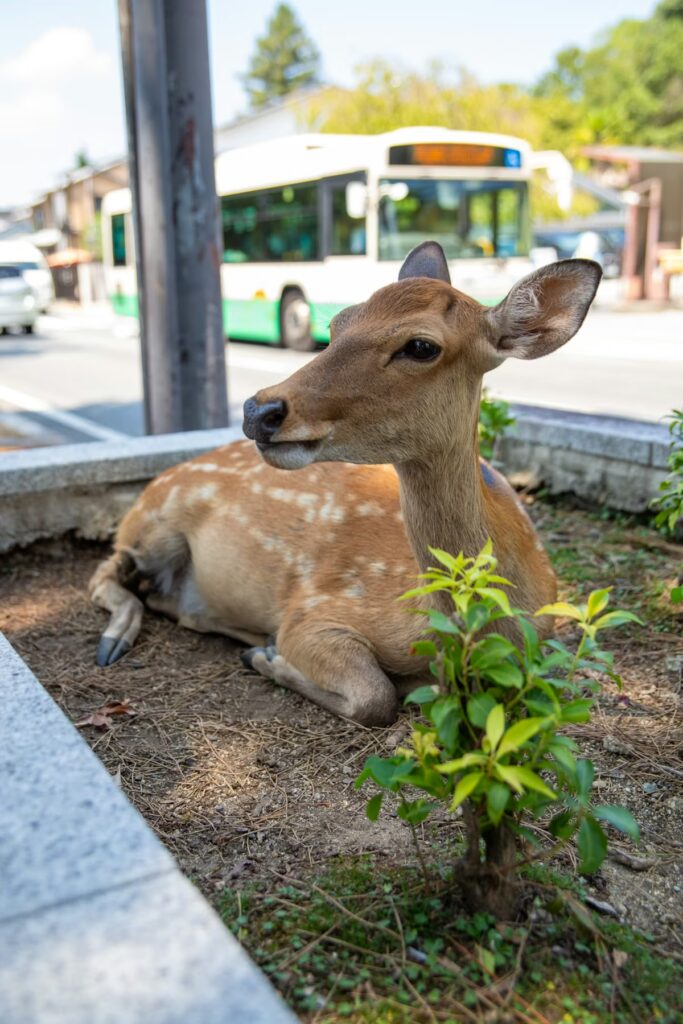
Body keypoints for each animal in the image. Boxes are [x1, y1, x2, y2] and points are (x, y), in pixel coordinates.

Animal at [90, 242, 601, 726]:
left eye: (421, 346)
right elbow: (376, 696)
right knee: (104, 572)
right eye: (338, 322)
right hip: (154, 523)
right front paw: (267, 656)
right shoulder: (314, 611)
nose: (259, 410)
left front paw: (263, 652)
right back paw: (116, 641)